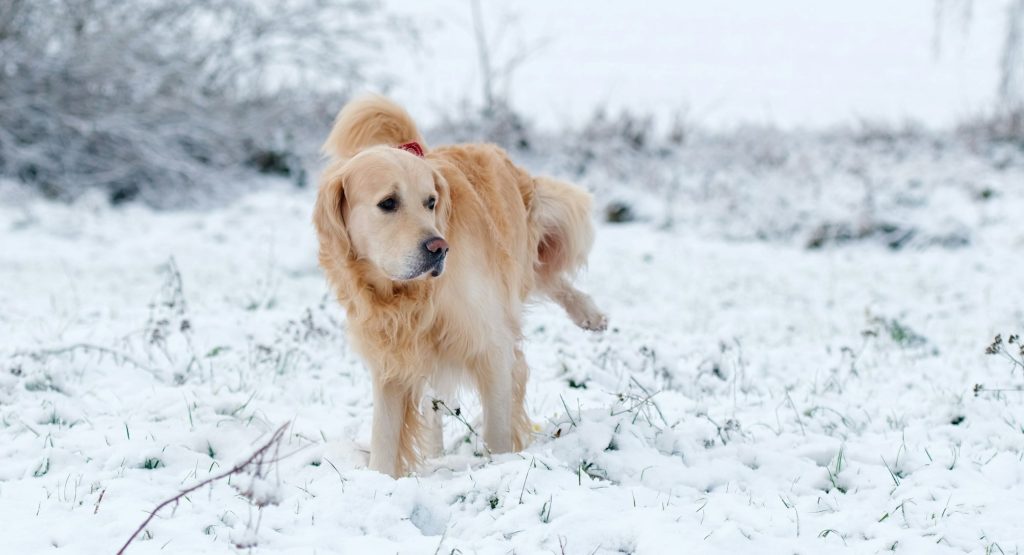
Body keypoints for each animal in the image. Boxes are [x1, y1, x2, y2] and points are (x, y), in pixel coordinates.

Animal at [307, 95, 602, 479]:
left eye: (431, 202)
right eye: (388, 203)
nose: (439, 248)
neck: (408, 295)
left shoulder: (491, 345)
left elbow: (497, 430)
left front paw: (502, 468)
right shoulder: (391, 359)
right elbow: (384, 439)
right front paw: (379, 483)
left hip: (533, 238)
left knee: (549, 274)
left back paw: (589, 314)